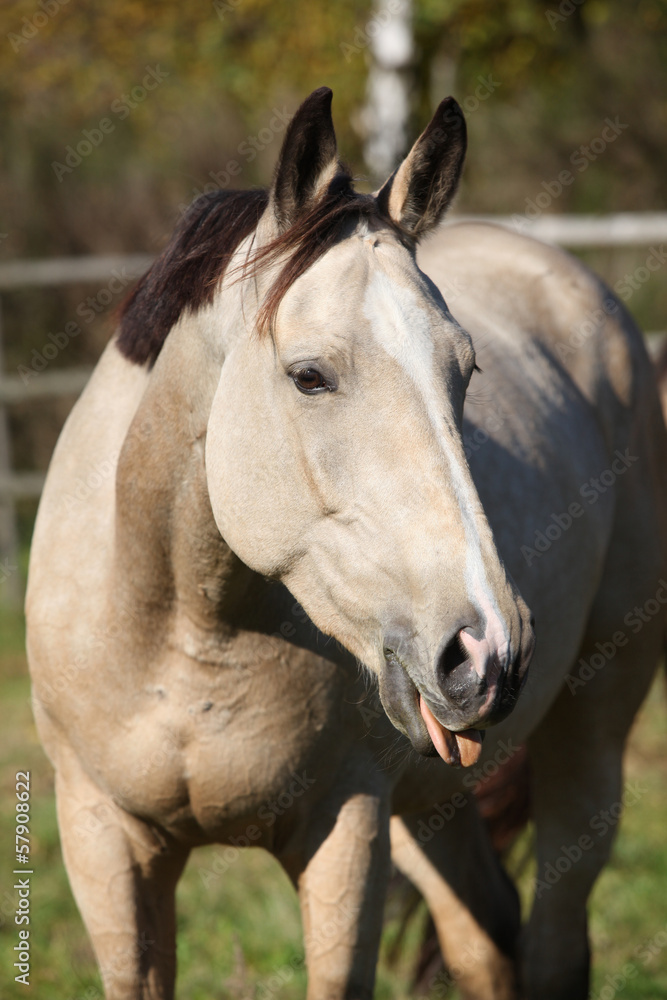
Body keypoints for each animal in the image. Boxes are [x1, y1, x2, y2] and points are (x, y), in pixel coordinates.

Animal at [26, 87, 667, 1000]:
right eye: (309, 376)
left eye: (466, 372)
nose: (487, 651)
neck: (183, 629)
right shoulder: (103, 840)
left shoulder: (345, 832)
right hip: (431, 798)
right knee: (485, 938)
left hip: (590, 729)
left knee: (551, 941)